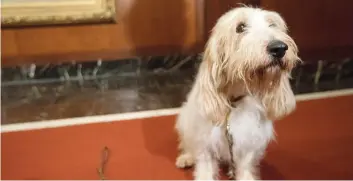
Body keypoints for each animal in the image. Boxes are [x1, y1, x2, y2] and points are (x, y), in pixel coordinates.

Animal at [173, 6, 300, 180]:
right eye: (240, 27)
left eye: (272, 25)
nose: (279, 48)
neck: (236, 101)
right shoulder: (205, 143)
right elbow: (205, 167)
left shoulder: (249, 141)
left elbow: (245, 165)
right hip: (184, 121)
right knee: (187, 143)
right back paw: (186, 157)